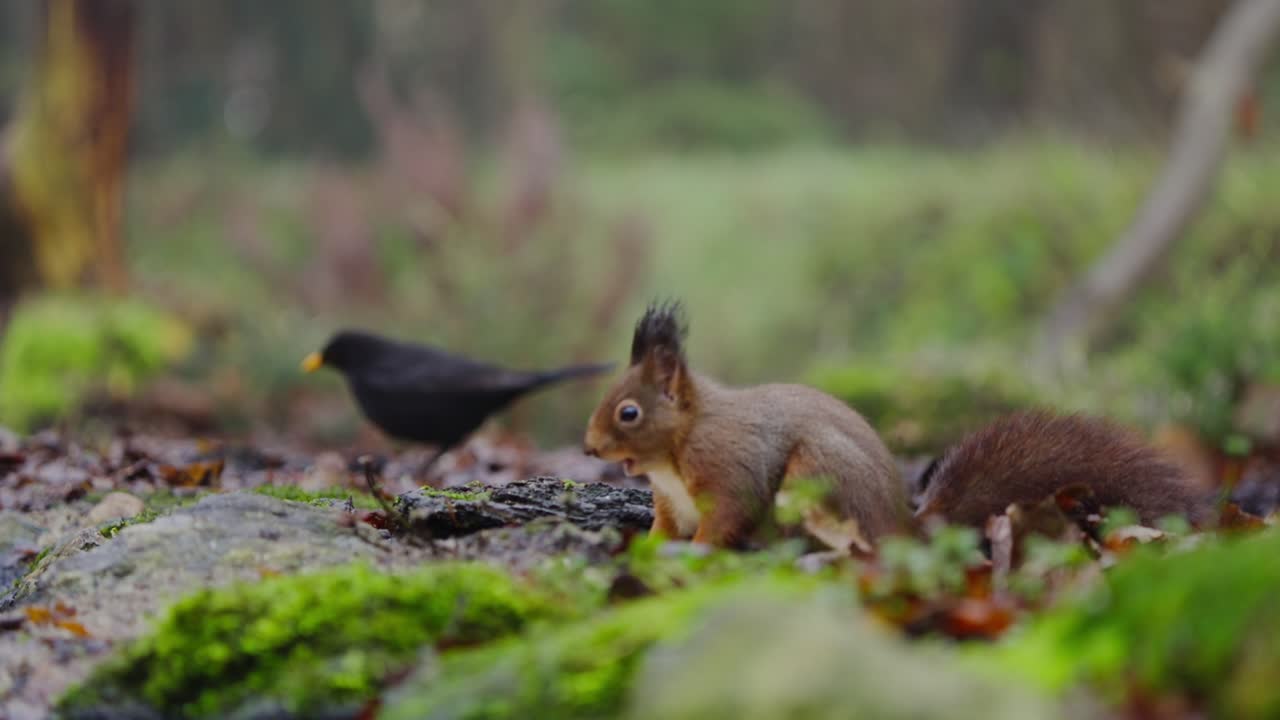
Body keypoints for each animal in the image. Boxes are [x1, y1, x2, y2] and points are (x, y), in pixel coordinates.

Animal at [583, 300, 1212, 548]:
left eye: (629, 412)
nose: (588, 447)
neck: (678, 446)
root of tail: (904, 528)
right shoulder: (671, 501)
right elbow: (664, 528)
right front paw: (648, 547)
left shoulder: (726, 466)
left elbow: (728, 514)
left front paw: (697, 553)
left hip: (815, 476)